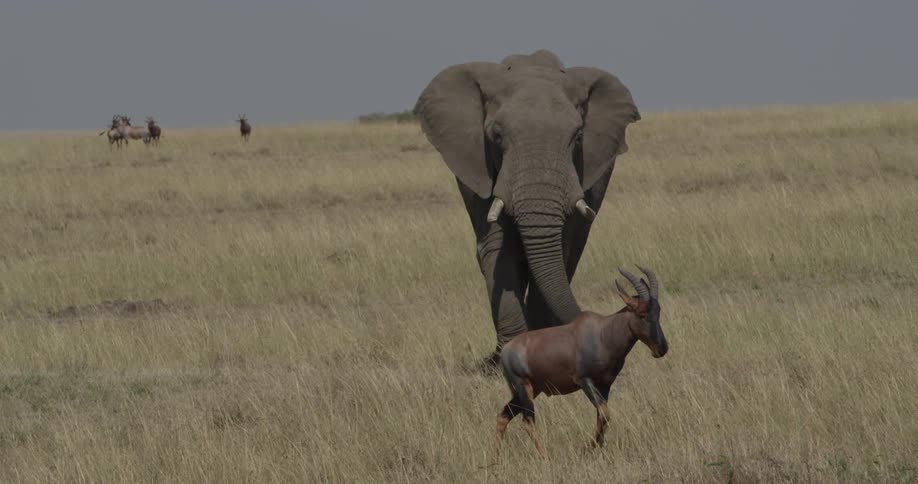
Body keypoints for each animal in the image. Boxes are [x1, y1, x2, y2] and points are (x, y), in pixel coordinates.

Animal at [495, 266, 669, 459]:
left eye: (658, 311)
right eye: (641, 313)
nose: (662, 348)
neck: (603, 334)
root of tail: (506, 350)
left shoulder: (605, 384)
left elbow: (602, 415)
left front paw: (597, 446)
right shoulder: (584, 380)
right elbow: (604, 413)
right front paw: (587, 447)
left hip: (531, 390)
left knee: (503, 416)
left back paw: (496, 459)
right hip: (523, 387)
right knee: (527, 421)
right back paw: (544, 456)